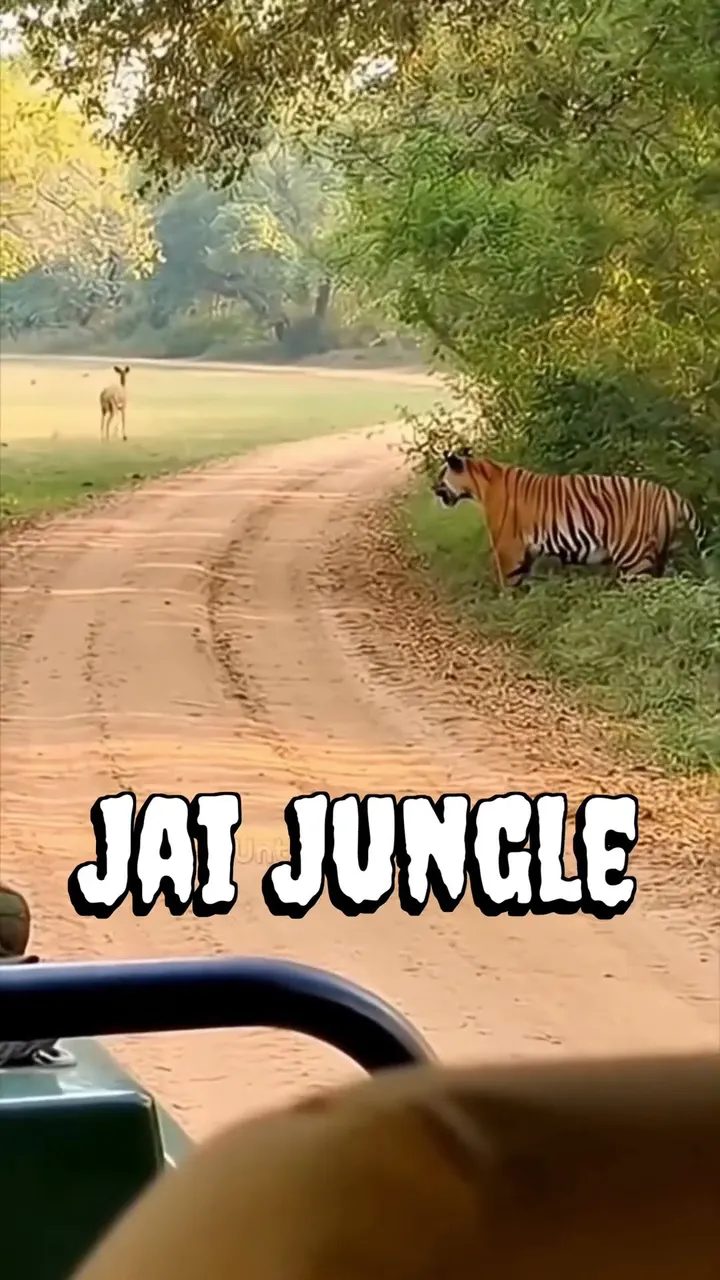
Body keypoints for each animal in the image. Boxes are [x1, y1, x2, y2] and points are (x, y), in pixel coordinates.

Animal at [433, 447, 708, 587]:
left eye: (441, 474)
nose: (433, 487)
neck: (480, 483)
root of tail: (672, 494)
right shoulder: (526, 552)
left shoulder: (508, 548)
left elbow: (509, 584)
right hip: (660, 553)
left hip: (634, 558)